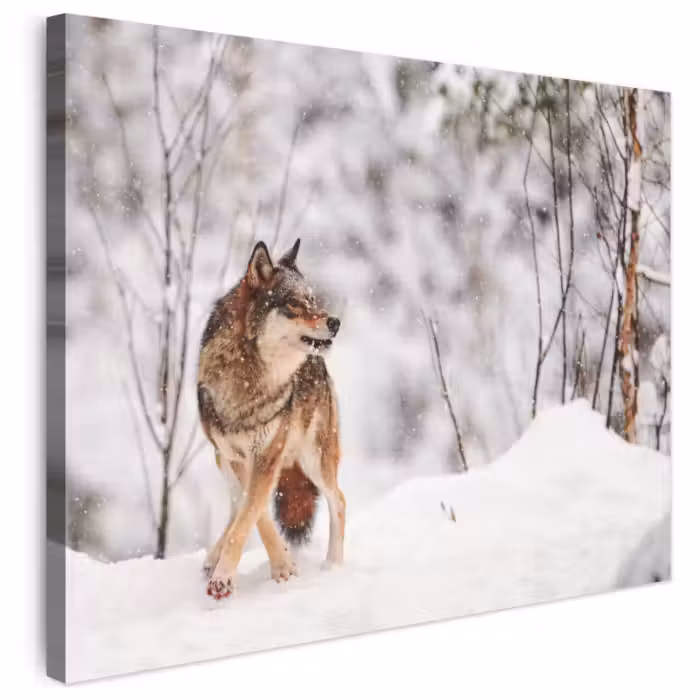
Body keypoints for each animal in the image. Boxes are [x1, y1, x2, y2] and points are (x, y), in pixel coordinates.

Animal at [198, 238, 345, 600]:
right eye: (293, 303)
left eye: (313, 300)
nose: (335, 322)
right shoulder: (238, 457)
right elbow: (255, 513)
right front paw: (282, 565)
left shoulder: (267, 455)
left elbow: (251, 514)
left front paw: (228, 578)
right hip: (223, 460)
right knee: (236, 504)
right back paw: (213, 555)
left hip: (315, 460)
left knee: (339, 501)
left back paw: (333, 566)